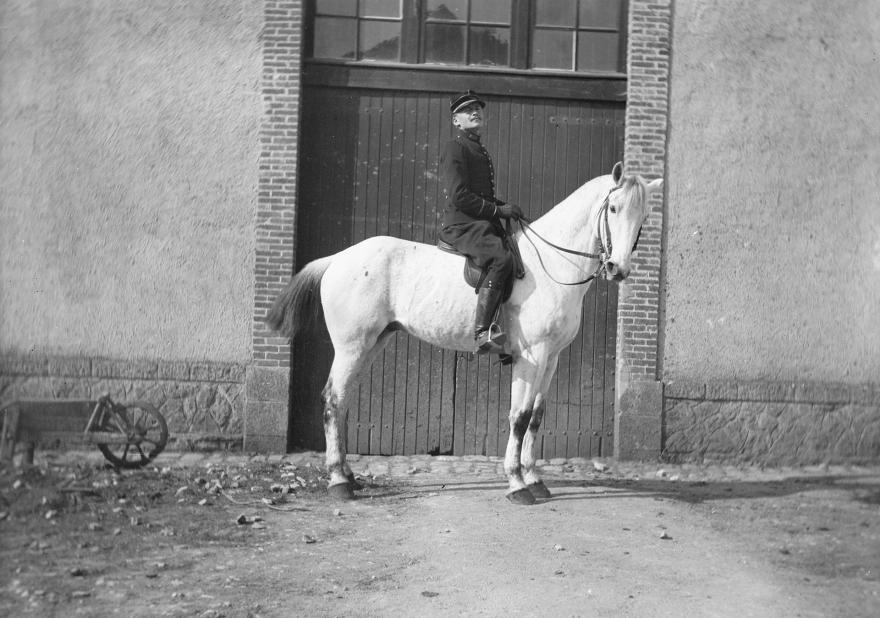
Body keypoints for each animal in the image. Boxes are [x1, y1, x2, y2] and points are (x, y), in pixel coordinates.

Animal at [267, 162, 663, 504]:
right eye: (614, 208)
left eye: (643, 217)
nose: (618, 268)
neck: (552, 265)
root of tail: (338, 258)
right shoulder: (531, 356)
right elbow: (519, 417)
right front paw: (517, 483)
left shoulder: (551, 358)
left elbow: (536, 416)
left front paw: (535, 479)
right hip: (352, 346)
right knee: (333, 401)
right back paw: (338, 482)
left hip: (371, 344)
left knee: (343, 401)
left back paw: (349, 475)